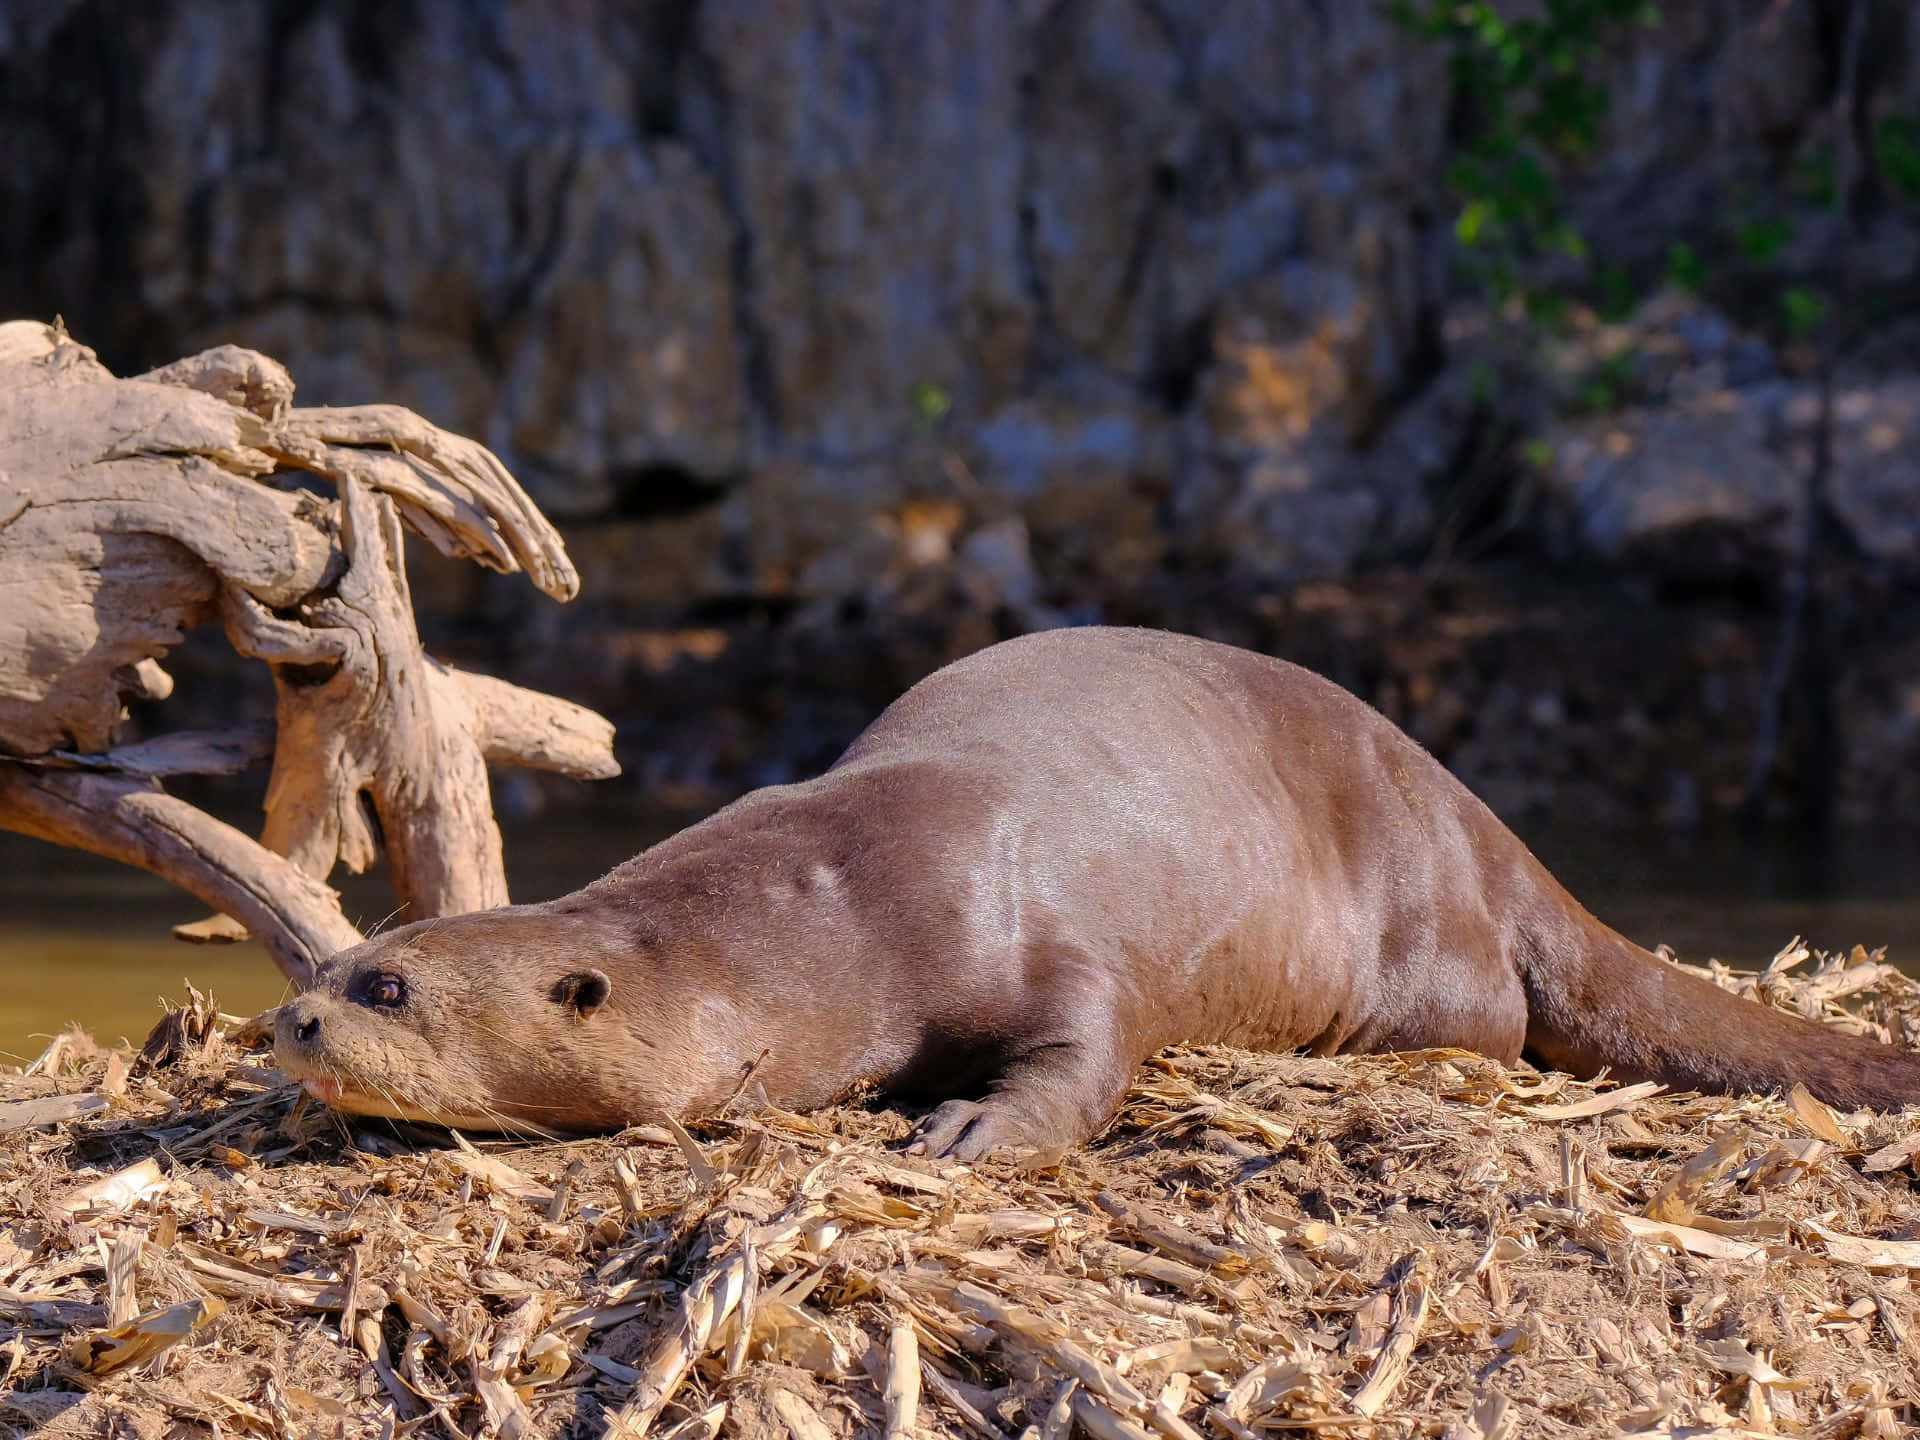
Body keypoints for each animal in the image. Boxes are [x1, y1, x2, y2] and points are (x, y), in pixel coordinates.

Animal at [274, 629, 1920, 1159]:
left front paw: (967, 1131)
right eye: (343, 962)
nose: (290, 1027)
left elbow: (1088, 1053)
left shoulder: (1028, 924)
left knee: (1501, 1020)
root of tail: (1479, 819)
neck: (823, 911)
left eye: (386, 986)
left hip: (1418, 933)